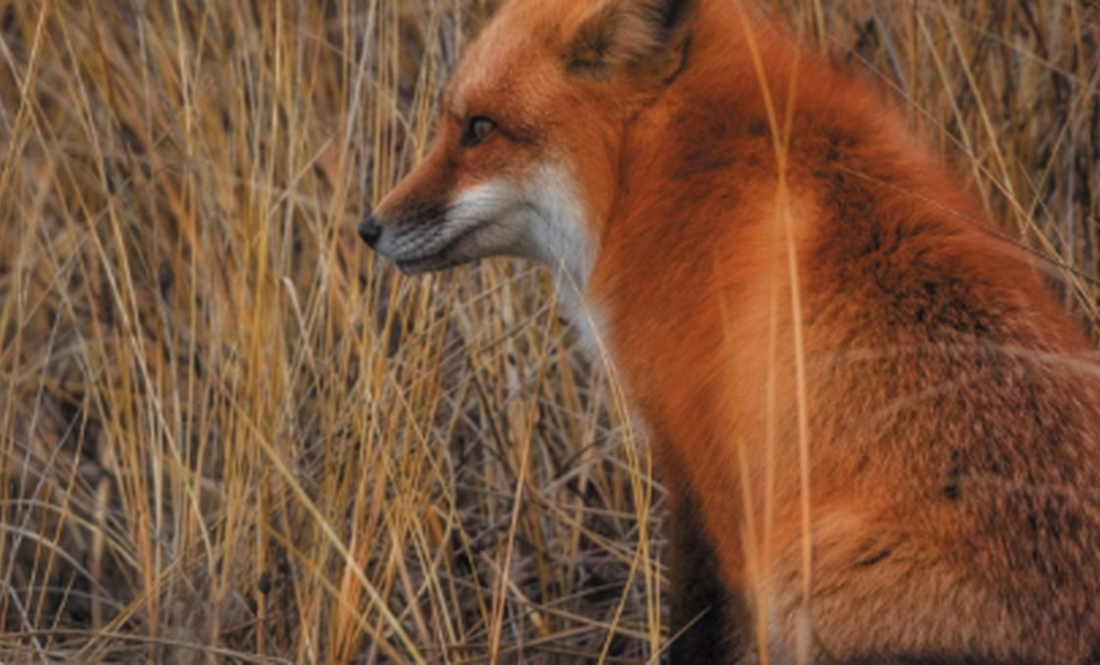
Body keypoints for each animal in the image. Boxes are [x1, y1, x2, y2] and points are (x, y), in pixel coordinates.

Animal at [358, 0, 1100, 659]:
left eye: (480, 128)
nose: (369, 227)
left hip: (806, 577)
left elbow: (696, 626)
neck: (666, 166)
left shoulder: (702, 462)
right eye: (456, 124)